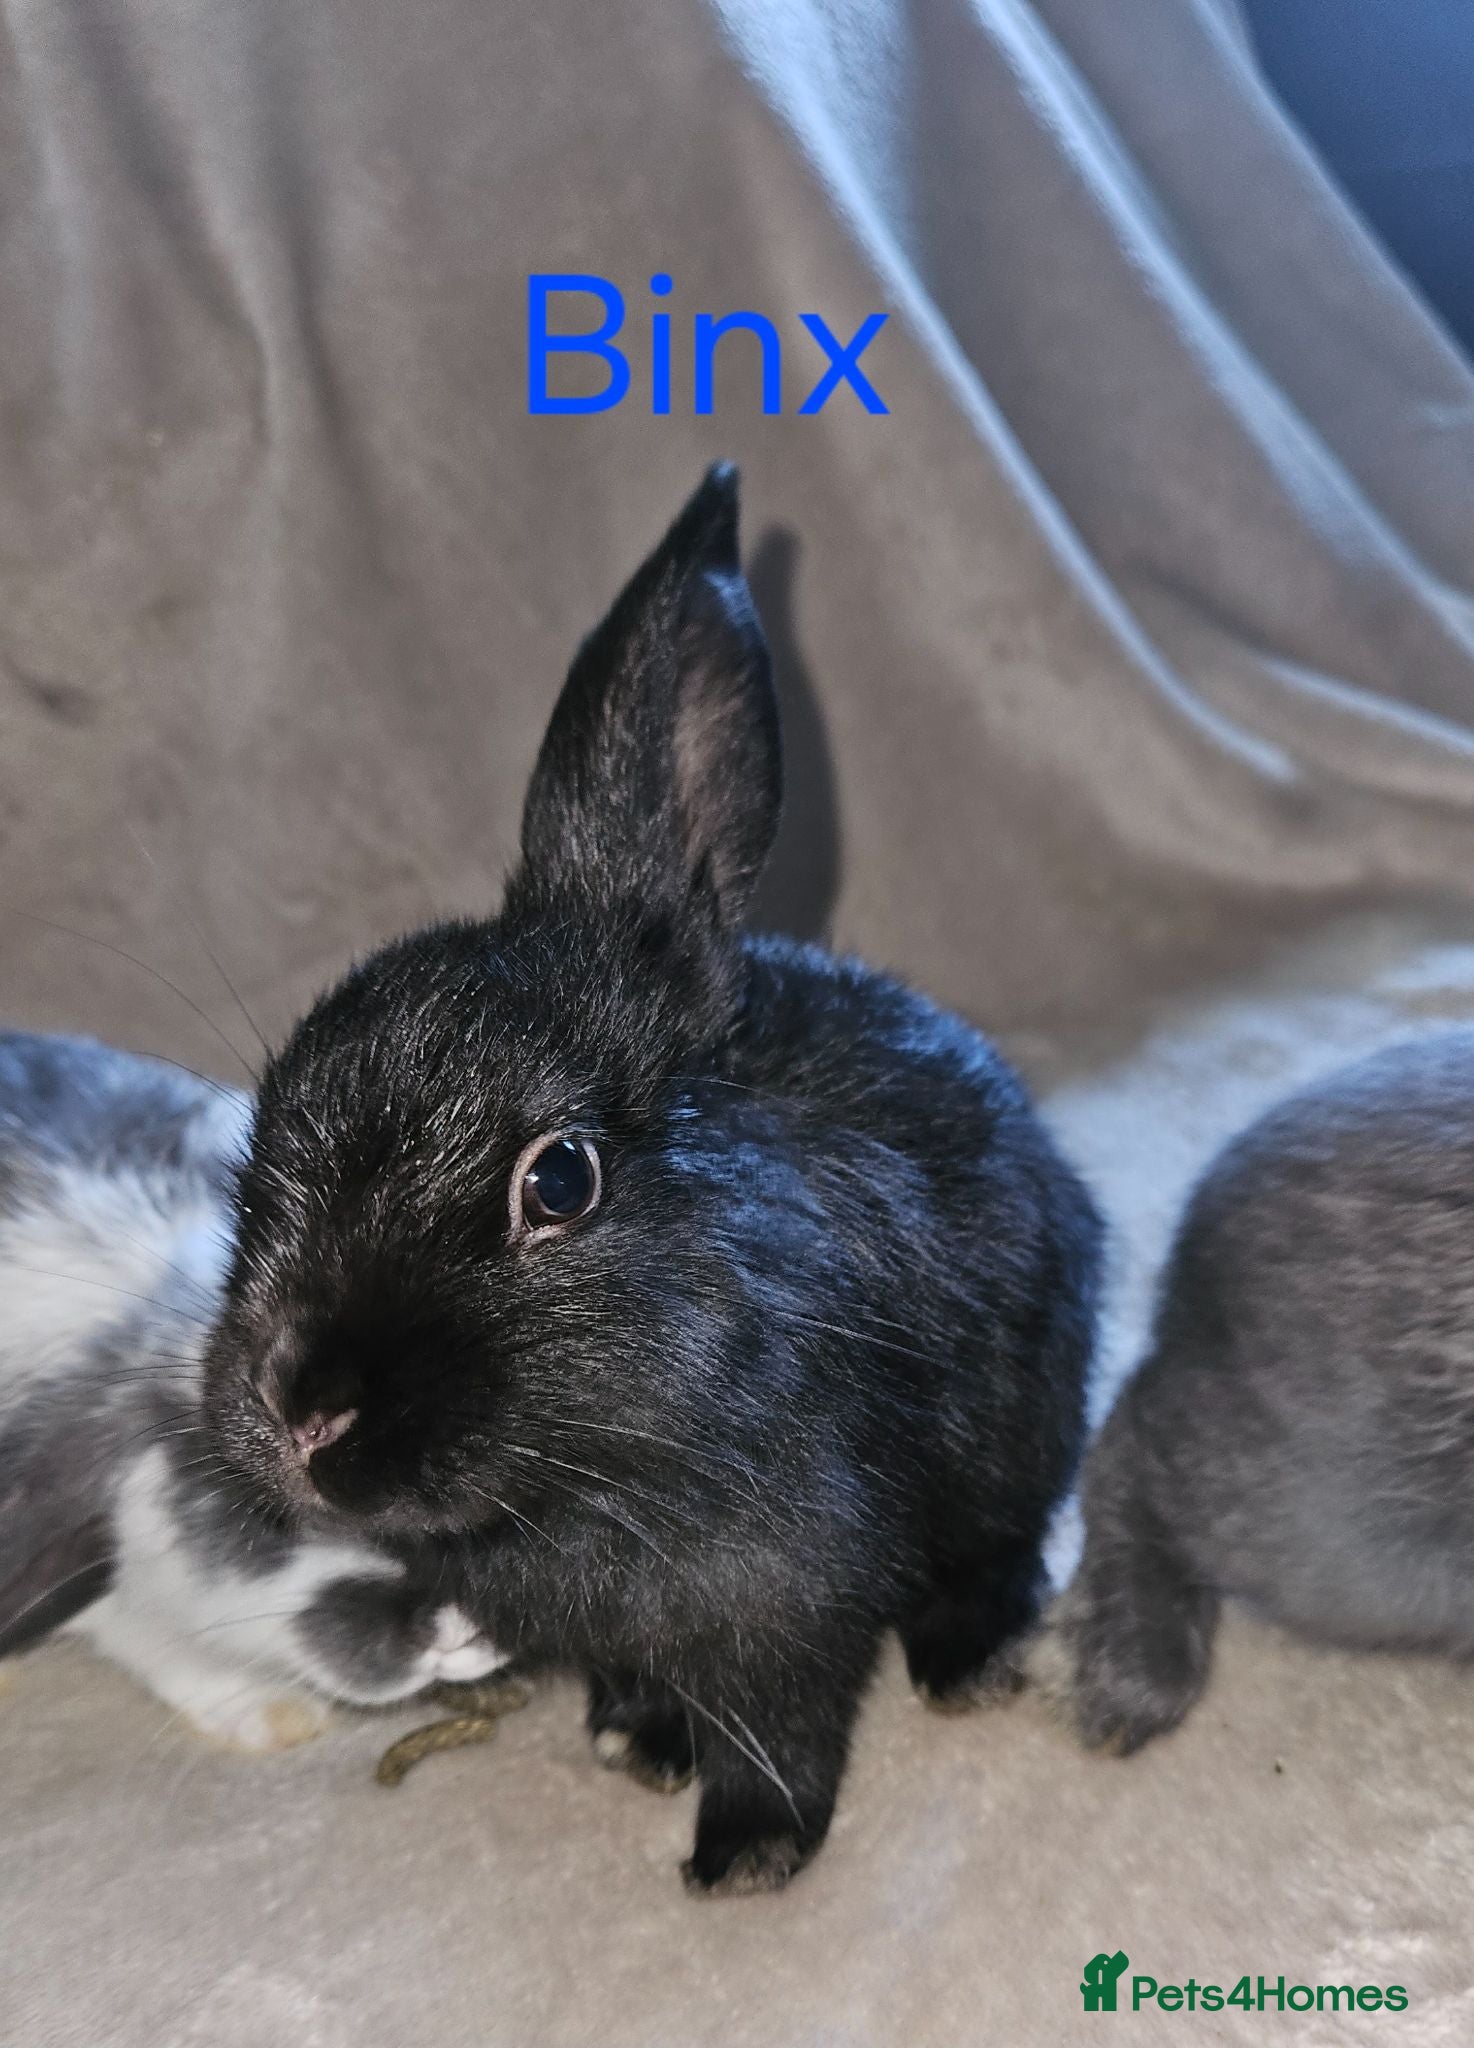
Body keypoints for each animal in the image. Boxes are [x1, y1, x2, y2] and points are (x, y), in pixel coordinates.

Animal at [203, 462, 1103, 1891]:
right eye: (264, 1132)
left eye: (560, 1180)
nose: (300, 1413)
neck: (581, 1480)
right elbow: (634, 1680)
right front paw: (637, 1744)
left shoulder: (786, 1597)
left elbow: (780, 1736)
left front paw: (742, 1858)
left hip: (1022, 1426)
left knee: (1000, 1547)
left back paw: (966, 1665)